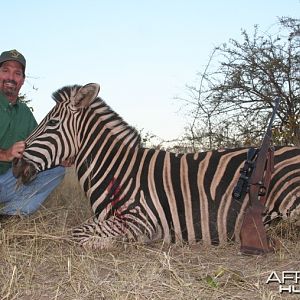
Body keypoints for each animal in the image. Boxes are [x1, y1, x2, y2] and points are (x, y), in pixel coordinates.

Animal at [12, 83, 300, 250]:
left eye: (51, 123)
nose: (14, 163)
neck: (117, 170)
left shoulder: (142, 220)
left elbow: (78, 234)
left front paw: (112, 243)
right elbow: (78, 230)